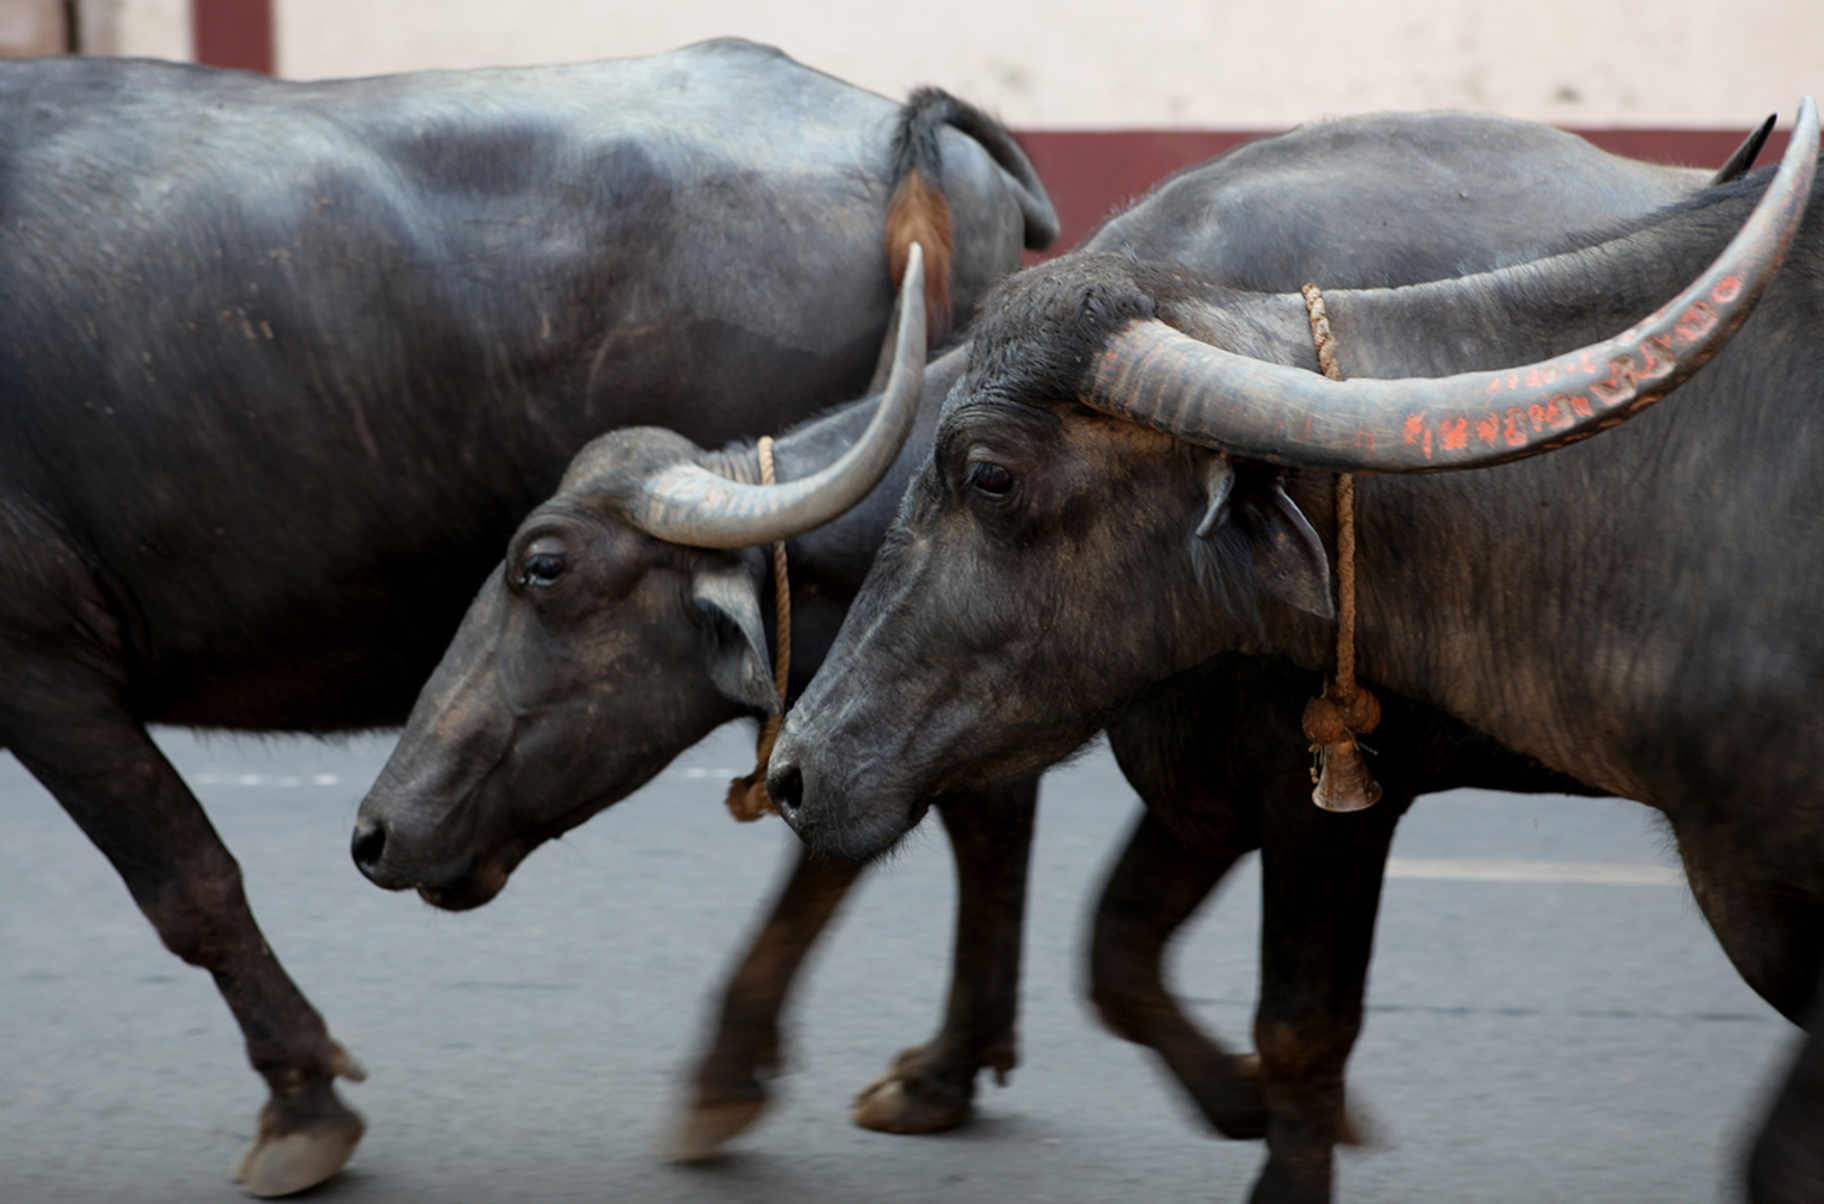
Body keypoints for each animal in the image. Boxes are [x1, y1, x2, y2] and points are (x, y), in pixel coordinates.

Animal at [0, 37, 1057, 1196]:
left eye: (542, 566)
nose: (374, 834)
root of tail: (917, 137)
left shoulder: (40, 664)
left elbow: (189, 883)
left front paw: (303, 1102)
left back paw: (744, 1074)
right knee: (982, 797)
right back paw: (946, 1067)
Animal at [344, 108, 1765, 1167]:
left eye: (542, 567)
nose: (374, 829)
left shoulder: (1327, 793)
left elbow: (1255, 1004)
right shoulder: (1190, 780)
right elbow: (1109, 953)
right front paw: (979, 1075)